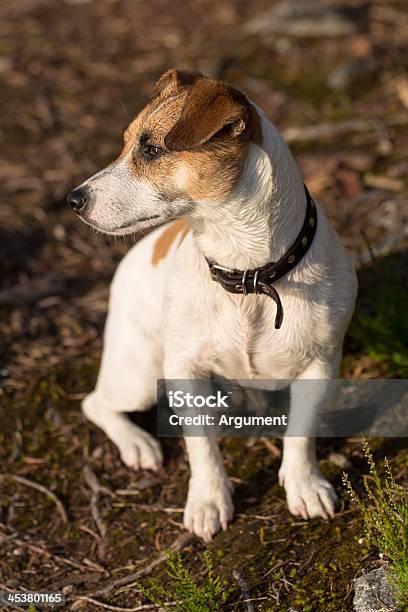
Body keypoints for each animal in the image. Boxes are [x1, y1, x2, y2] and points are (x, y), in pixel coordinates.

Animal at [67, 69, 356, 544]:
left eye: (151, 150)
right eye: (126, 144)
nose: (73, 200)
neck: (249, 273)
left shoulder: (320, 364)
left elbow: (302, 431)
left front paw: (304, 485)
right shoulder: (185, 369)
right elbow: (201, 446)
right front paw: (208, 502)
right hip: (139, 374)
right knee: (95, 403)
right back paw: (138, 444)